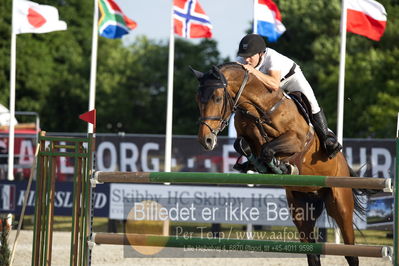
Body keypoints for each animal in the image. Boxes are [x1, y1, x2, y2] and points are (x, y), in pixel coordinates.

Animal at [192, 62, 364, 266]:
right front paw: (263, 165)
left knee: (351, 253)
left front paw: (283, 167)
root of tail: (345, 165)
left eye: (217, 98)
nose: (206, 140)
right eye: (197, 100)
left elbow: (268, 149)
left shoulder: (296, 140)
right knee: (312, 253)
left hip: (340, 205)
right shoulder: (247, 134)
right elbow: (243, 145)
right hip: (301, 208)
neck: (260, 107)